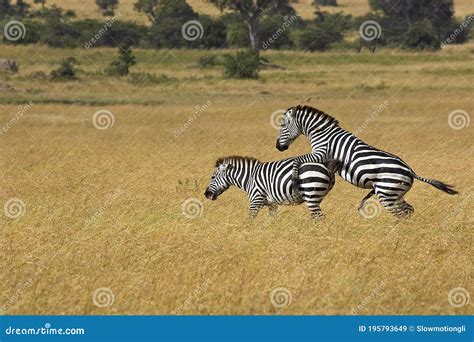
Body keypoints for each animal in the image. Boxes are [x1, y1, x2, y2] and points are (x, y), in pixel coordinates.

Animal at [204, 154, 340, 219]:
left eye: (212, 177)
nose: (206, 194)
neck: (249, 178)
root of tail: (326, 166)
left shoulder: (255, 200)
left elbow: (250, 219)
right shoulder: (272, 205)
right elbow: (272, 220)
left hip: (311, 194)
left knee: (319, 217)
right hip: (316, 196)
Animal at [274, 104, 460, 218]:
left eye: (282, 125)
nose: (278, 147)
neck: (322, 133)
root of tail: (410, 171)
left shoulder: (321, 152)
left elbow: (297, 159)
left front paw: (293, 177)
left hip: (387, 192)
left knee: (401, 213)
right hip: (395, 193)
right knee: (408, 210)